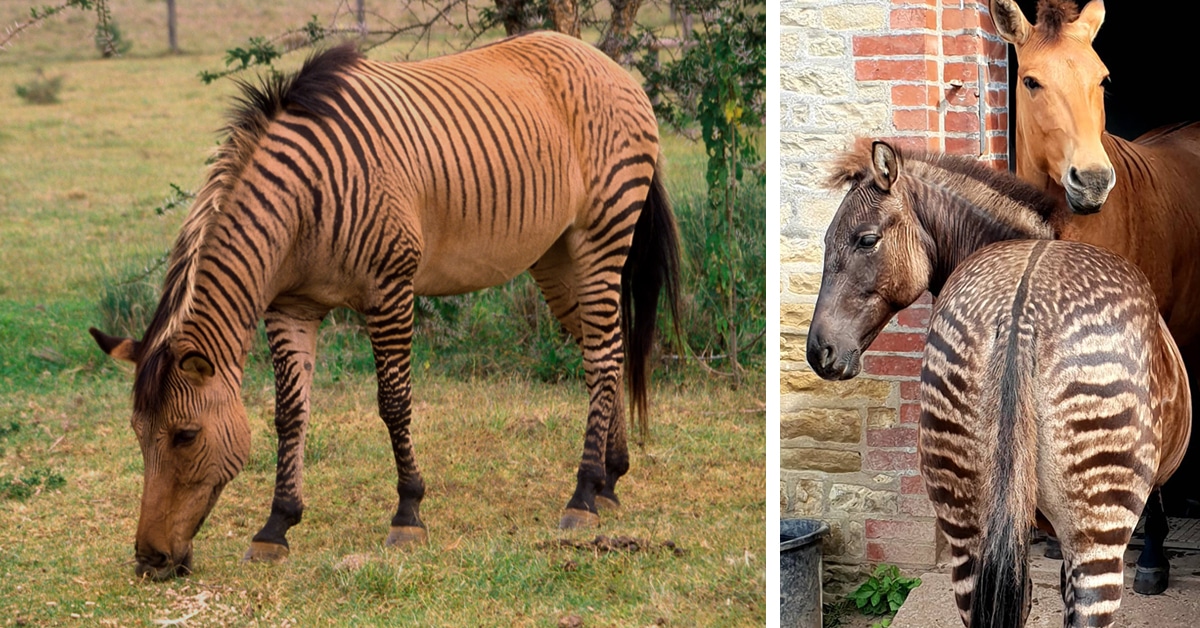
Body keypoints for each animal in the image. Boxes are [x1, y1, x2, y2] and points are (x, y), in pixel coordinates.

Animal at [89, 31, 681, 580]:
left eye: (185, 436)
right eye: (137, 436)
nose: (149, 560)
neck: (300, 206)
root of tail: (606, 62)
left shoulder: (390, 290)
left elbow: (394, 403)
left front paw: (408, 513)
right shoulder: (291, 306)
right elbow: (290, 414)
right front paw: (276, 525)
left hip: (601, 236)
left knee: (604, 356)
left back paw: (582, 495)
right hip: (555, 255)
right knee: (603, 349)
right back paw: (609, 478)